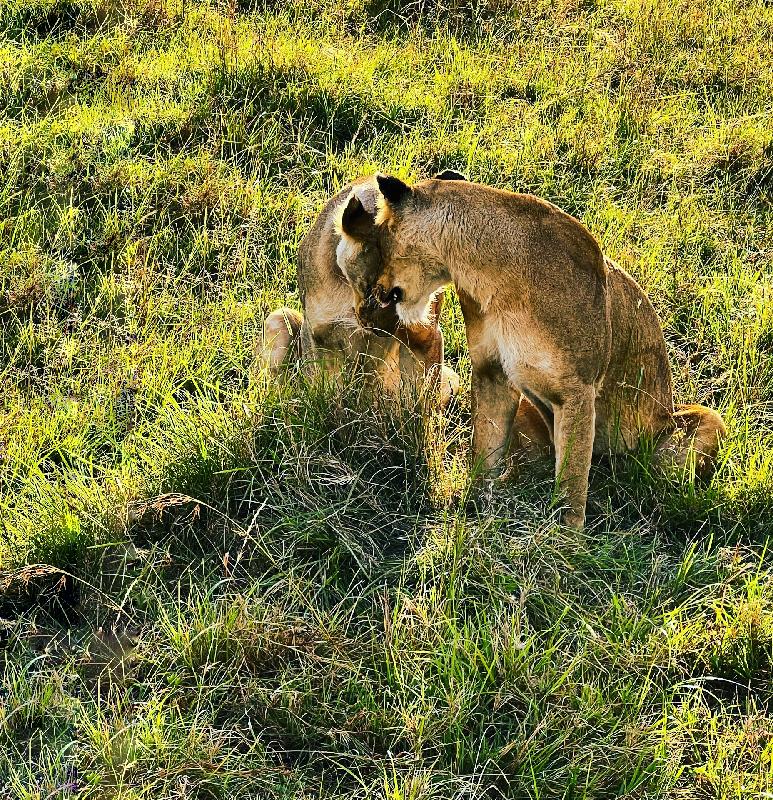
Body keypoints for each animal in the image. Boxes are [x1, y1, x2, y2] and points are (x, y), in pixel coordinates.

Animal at [262, 171, 462, 404]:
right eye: (373, 286)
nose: (382, 329)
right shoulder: (319, 338)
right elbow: (325, 391)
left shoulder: (425, 337)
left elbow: (422, 400)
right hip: (279, 317)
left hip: (452, 377)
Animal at [334, 172, 728, 528]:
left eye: (378, 248)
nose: (373, 296)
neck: (492, 275)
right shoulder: (493, 373)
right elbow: (485, 450)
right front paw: (473, 510)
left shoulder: (578, 391)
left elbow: (571, 483)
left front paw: (566, 546)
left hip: (702, 423)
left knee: (637, 476)